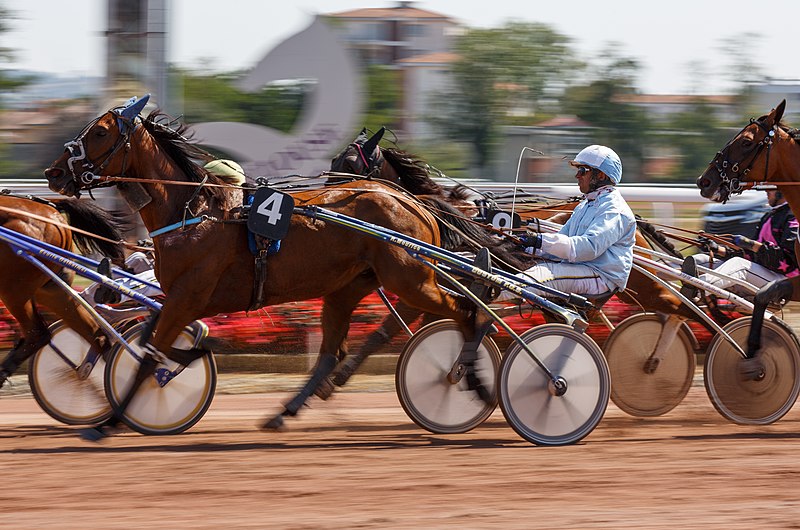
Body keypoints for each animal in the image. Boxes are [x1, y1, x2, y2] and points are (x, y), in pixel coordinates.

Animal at [43, 97, 478, 436]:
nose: (54, 171)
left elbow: (150, 352)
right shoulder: (179, 299)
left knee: (465, 311)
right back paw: (285, 411)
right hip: (349, 287)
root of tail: (412, 202)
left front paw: (110, 422)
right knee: (332, 353)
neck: (193, 212)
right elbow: (149, 340)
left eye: (100, 132)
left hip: (410, 279)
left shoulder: (187, 297)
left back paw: (469, 375)